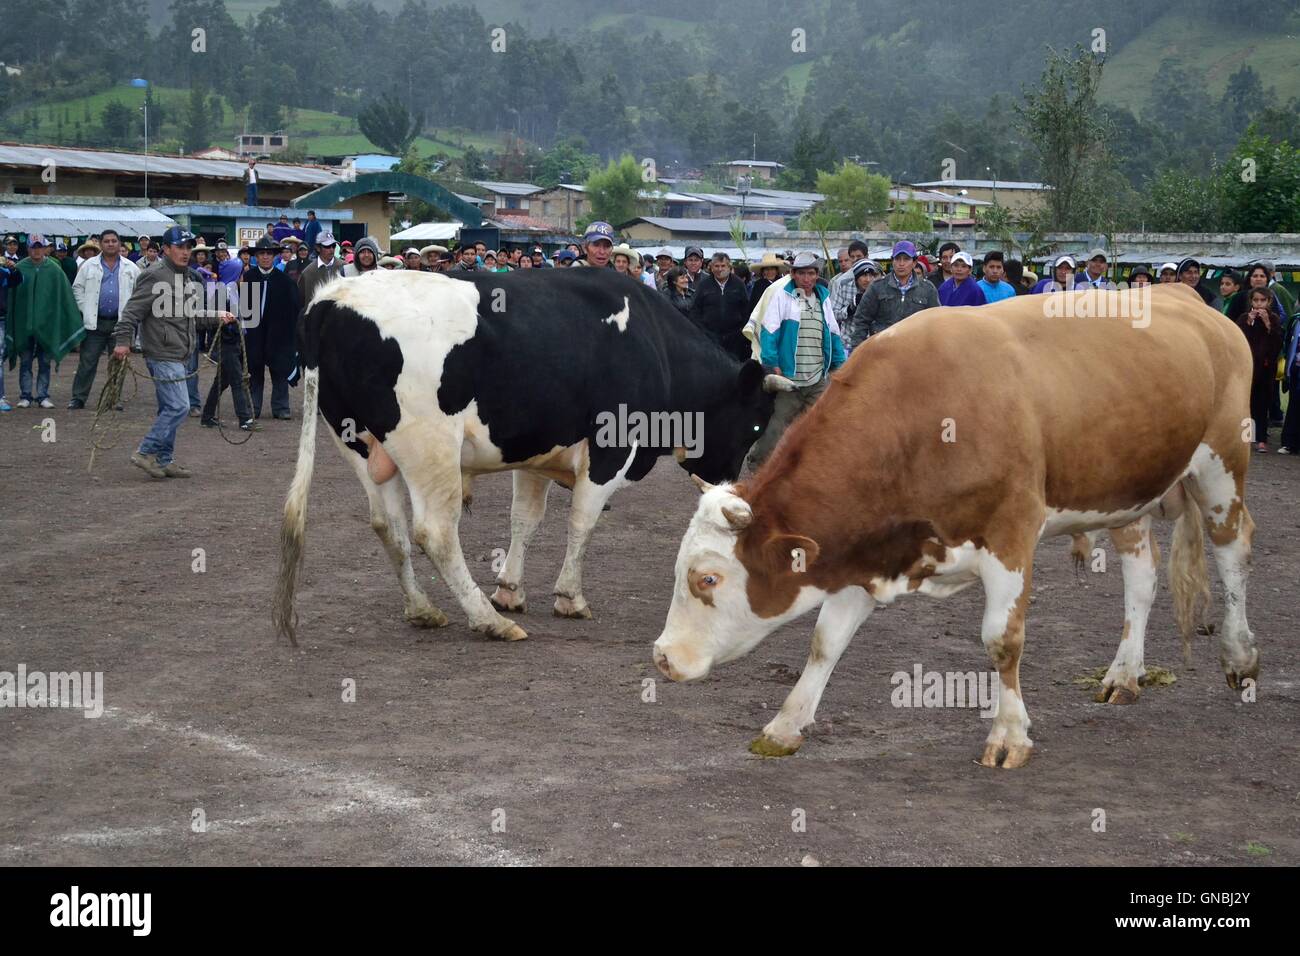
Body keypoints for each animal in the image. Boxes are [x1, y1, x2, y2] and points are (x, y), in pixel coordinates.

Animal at [274, 265, 790, 647]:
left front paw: (509, 589)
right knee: (435, 532)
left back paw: (424, 609)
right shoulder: (609, 448)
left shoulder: (537, 453)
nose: (728, 487)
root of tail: (331, 300)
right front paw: (568, 597)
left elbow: (524, 519)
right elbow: (582, 521)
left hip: (363, 448)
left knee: (389, 526)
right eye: (756, 424)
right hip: (430, 449)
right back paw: (489, 622)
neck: (655, 345)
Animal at [655, 283, 1263, 770]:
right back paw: (1123, 675)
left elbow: (1002, 641)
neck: (921, 419)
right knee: (1142, 577)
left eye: (707, 579)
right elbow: (826, 641)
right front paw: (784, 727)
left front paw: (1009, 735)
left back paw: (1239, 657)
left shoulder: (1011, 533)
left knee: (1234, 551)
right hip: (1125, 494)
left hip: (1222, 465)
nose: (662, 658)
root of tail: (1185, 294)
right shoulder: (868, 543)